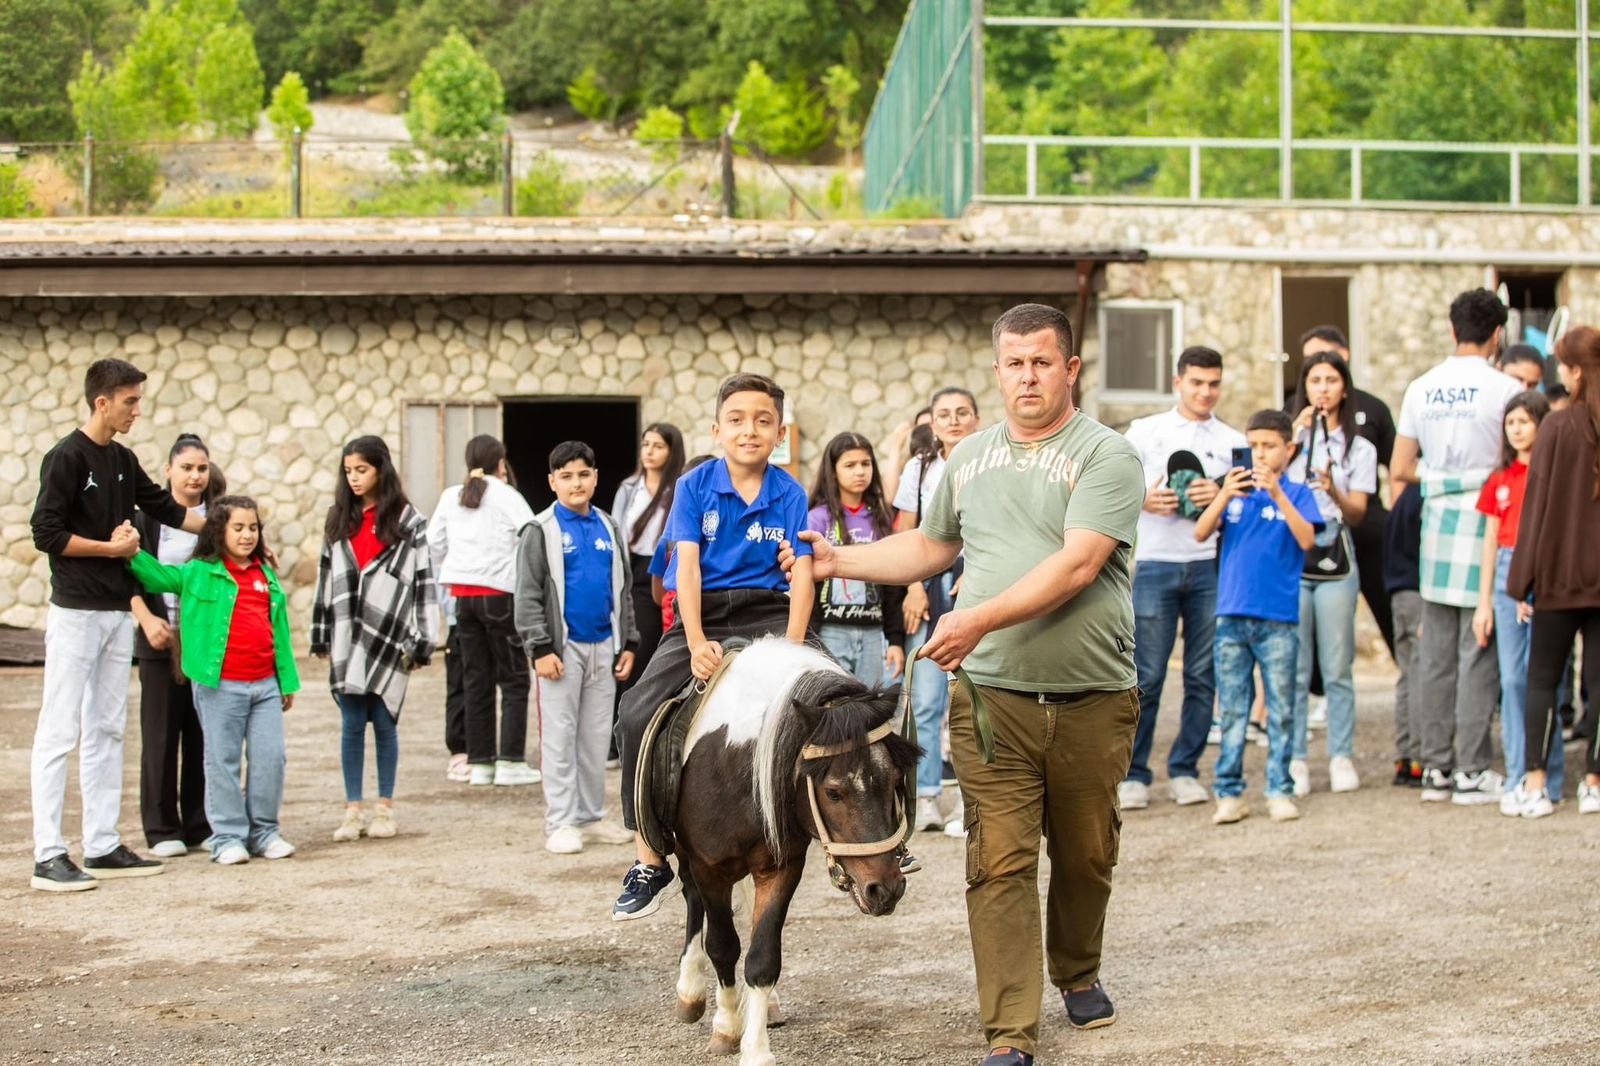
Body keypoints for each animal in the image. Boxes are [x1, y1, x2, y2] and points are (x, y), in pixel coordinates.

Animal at [668, 640, 921, 1062]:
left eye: (896, 779)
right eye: (833, 791)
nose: (885, 889)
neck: (737, 765)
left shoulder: (780, 867)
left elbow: (762, 958)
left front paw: (756, 1050)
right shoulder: (710, 868)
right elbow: (722, 945)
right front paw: (726, 1027)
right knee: (692, 900)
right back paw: (690, 993)